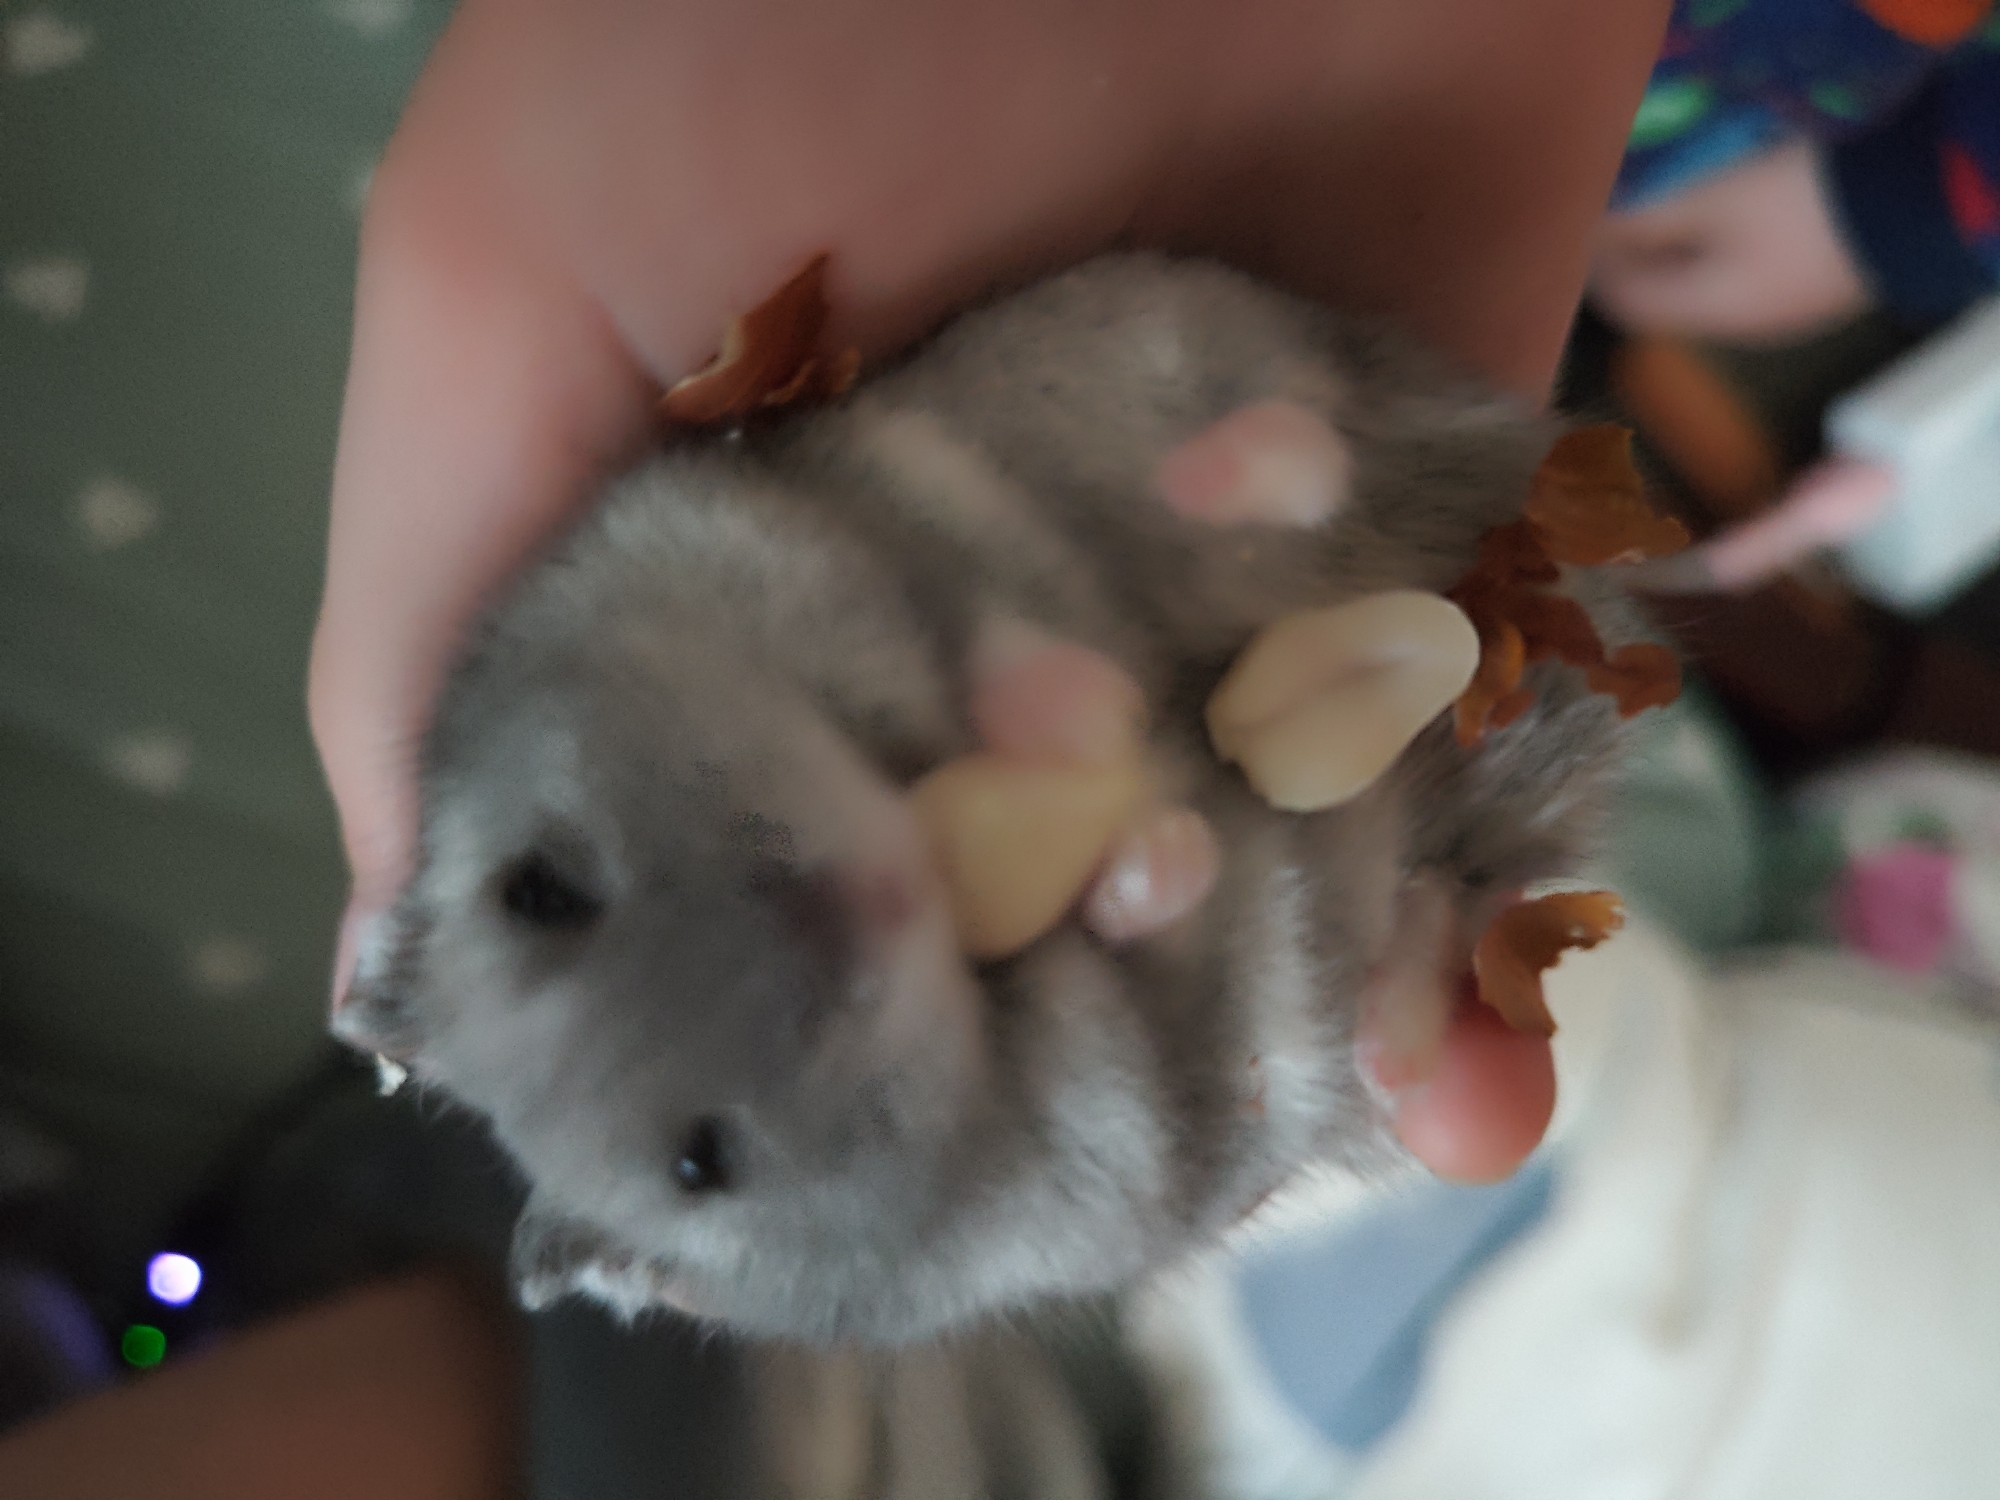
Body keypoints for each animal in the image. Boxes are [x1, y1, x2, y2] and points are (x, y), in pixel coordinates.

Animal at [332, 254, 1638, 1346]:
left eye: (540, 891)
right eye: (701, 1167)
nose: (860, 893)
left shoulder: (797, 549)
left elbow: (972, 624)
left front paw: (1072, 704)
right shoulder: (1101, 1150)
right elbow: (1142, 931)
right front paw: (1145, 833)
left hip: (1164, 337)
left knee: (1307, 439)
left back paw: (1222, 474)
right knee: (1441, 908)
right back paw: (1393, 1032)